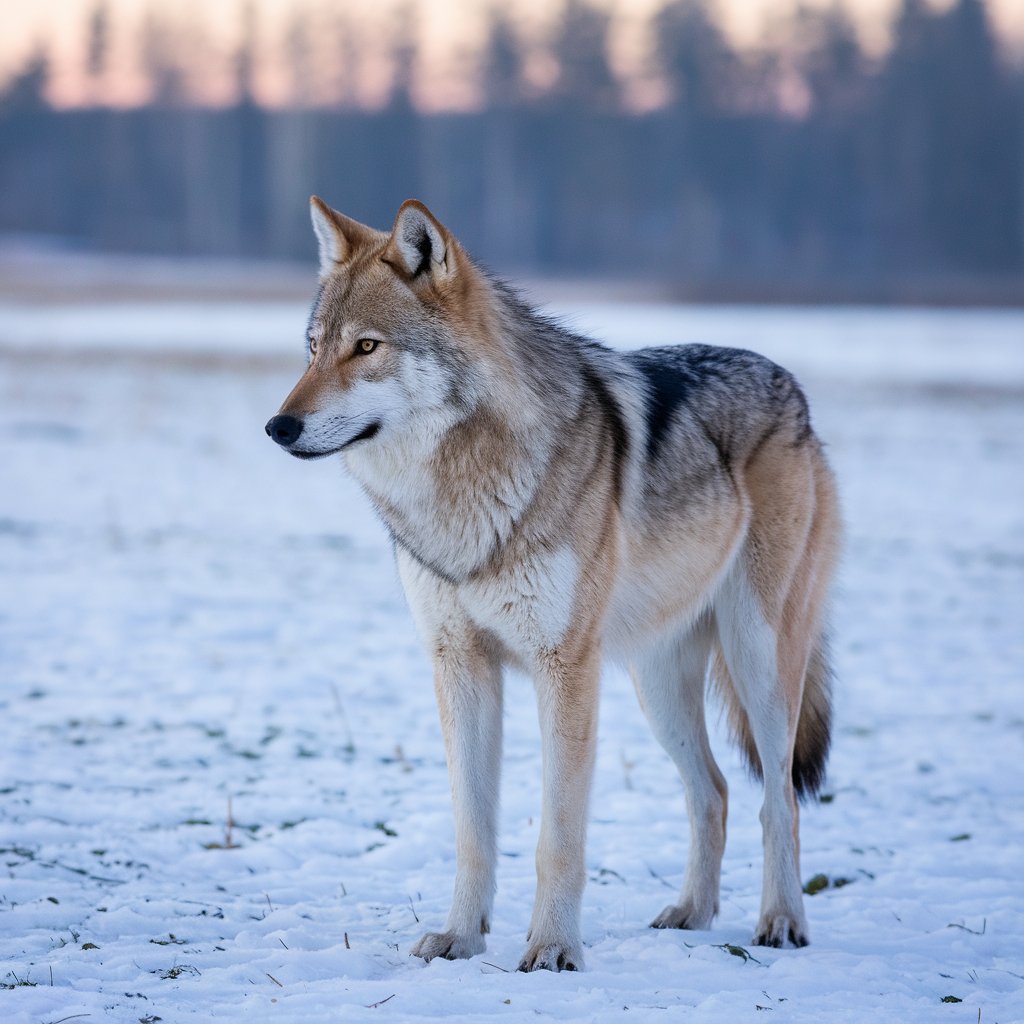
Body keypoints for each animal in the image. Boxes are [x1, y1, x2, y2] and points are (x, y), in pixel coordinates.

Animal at [266, 195, 839, 970]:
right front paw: (459, 937)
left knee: (778, 797)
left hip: (757, 661)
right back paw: (690, 913)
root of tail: (790, 384)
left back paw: (780, 921)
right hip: (656, 686)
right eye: (313, 346)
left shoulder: (563, 667)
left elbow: (558, 839)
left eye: (366, 348)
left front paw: (554, 950)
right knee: (714, 792)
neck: (464, 491)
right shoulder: (460, 665)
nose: (278, 426)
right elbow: (473, 831)